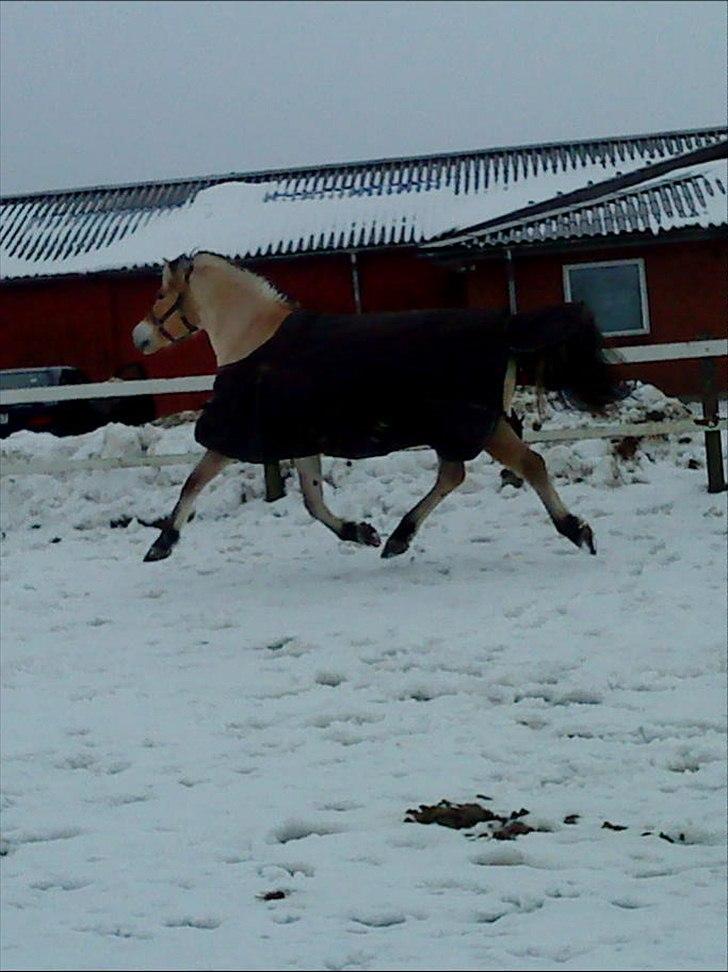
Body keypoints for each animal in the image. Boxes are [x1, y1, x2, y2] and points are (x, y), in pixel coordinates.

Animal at [132, 252, 620, 560]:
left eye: (159, 294)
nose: (139, 337)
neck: (255, 336)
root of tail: (507, 327)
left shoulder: (234, 436)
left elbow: (193, 482)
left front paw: (161, 545)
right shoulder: (301, 437)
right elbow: (312, 499)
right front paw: (360, 532)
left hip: (477, 425)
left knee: (528, 465)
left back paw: (577, 531)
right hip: (466, 427)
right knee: (454, 475)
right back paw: (398, 539)